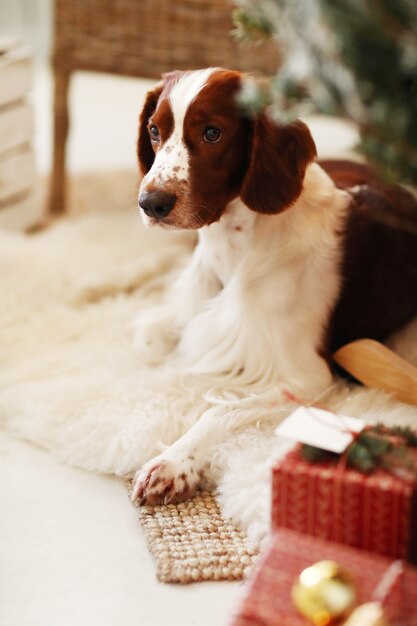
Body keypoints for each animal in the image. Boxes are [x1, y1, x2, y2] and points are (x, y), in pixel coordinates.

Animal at [130, 67, 416, 502]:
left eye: (213, 133)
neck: (237, 247)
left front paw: (174, 462)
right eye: (153, 131)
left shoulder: (308, 377)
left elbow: (220, 407)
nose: (151, 203)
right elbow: (152, 343)